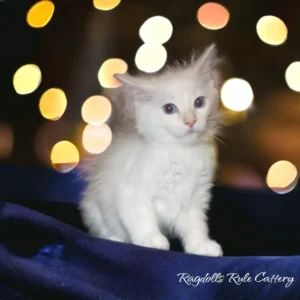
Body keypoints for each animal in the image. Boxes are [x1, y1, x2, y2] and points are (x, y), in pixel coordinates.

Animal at [79, 44, 223, 255]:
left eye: (199, 102)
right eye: (169, 109)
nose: (190, 121)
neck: (181, 154)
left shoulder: (195, 199)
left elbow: (196, 226)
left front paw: (201, 246)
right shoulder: (133, 191)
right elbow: (142, 219)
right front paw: (151, 240)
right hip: (96, 208)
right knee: (104, 229)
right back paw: (114, 238)